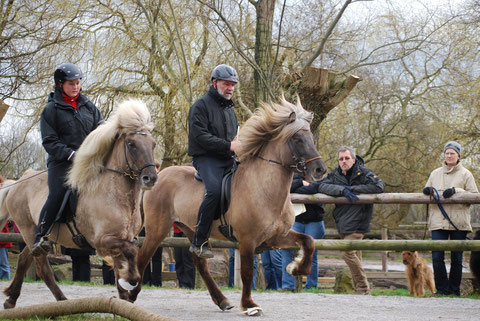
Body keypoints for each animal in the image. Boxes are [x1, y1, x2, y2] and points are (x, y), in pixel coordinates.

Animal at [0, 98, 157, 308]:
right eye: (131, 144)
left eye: (152, 144)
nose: (151, 178)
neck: (116, 196)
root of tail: (18, 182)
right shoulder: (102, 240)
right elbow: (130, 252)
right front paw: (130, 281)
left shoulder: (127, 237)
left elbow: (126, 257)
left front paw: (125, 295)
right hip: (28, 229)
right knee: (42, 268)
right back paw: (62, 302)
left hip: (37, 236)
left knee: (25, 258)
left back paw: (11, 298)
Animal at [129, 96, 328, 314]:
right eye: (297, 139)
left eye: (310, 138)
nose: (320, 170)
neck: (263, 188)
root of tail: (158, 175)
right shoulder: (247, 240)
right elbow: (248, 272)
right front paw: (249, 305)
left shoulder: (276, 237)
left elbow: (309, 242)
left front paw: (296, 267)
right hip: (157, 230)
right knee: (142, 258)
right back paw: (129, 295)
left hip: (192, 230)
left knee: (200, 263)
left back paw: (222, 300)